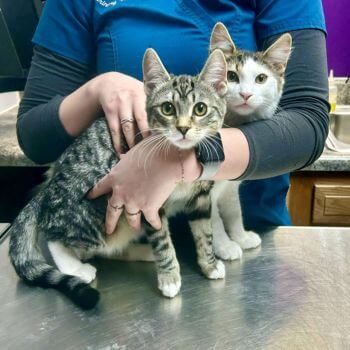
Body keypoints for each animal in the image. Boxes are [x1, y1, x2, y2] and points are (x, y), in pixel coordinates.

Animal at [8, 48, 228, 308]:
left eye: (200, 109)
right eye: (167, 108)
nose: (183, 128)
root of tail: (47, 190)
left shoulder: (200, 197)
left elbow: (205, 232)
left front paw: (209, 264)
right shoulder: (146, 201)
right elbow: (162, 240)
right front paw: (169, 277)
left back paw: (143, 252)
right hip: (95, 206)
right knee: (56, 237)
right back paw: (76, 268)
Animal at [208, 22, 292, 260]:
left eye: (261, 78)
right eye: (231, 75)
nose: (245, 95)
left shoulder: (230, 186)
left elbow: (234, 211)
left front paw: (241, 237)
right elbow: (214, 221)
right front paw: (225, 246)